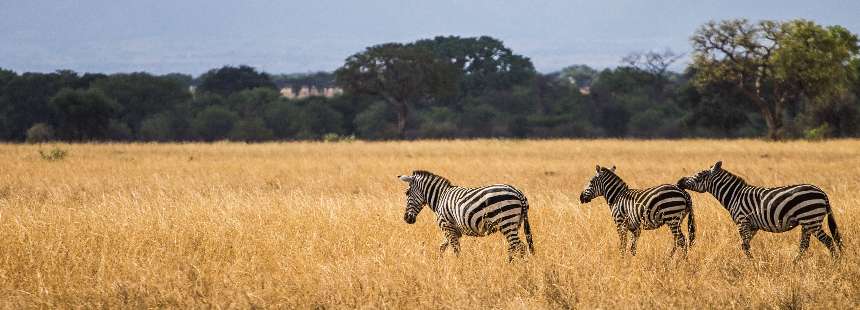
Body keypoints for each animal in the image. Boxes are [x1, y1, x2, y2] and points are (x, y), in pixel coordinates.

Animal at [400, 171, 536, 260]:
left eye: (407, 193)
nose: (406, 219)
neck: (440, 197)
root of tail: (518, 192)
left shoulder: (446, 226)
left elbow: (456, 249)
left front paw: (458, 266)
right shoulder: (453, 229)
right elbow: (442, 247)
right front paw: (440, 263)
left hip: (507, 221)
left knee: (519, 246)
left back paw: (514, 267)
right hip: (515, 223)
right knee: (516, 246)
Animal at [680, 161, 840, 260]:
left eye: (700, 175)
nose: (680, 181)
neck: (734, 195)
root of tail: (822, 192)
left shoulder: (742, 221)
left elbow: (745, 245)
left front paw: (751, 264)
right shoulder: (753, 226)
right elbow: (744, 244)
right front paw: (752, 262)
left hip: (811, 219)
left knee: (828, 241)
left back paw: (835, 263)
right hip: (807, 223)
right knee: (804, 246)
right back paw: (794, 264)